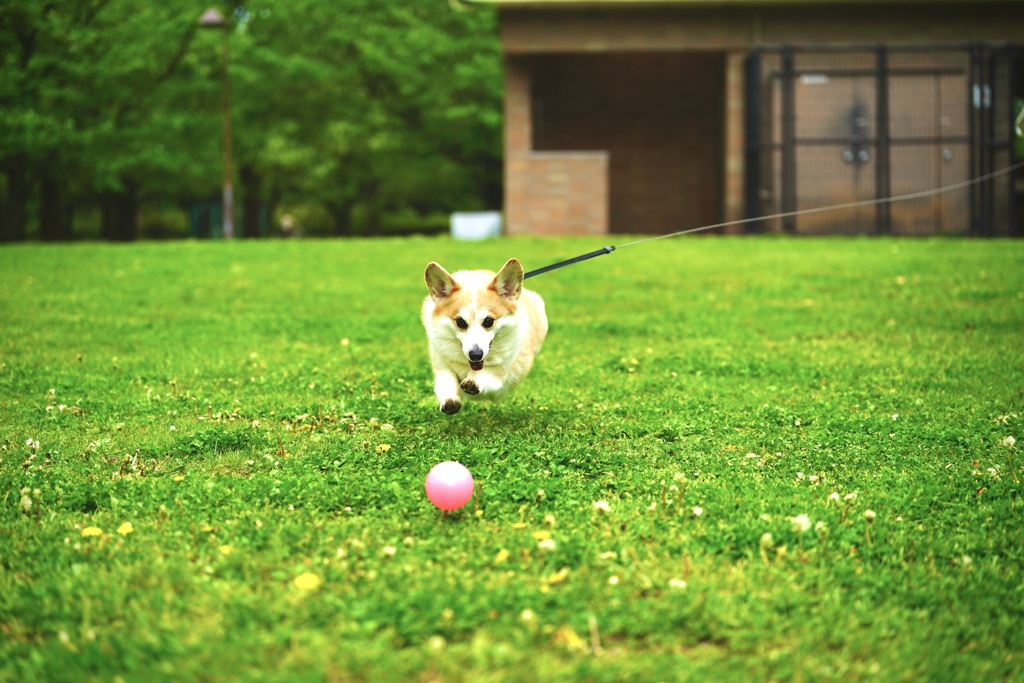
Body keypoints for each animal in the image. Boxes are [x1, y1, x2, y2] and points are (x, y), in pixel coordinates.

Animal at [421, 259, 548, 413]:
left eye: (488, 321)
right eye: (460, 322)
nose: (476, 355)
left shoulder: (502, 370)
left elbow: (489, 371)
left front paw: (473, 380)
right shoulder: (441, 364)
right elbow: (447, 380)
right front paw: (450, 400)